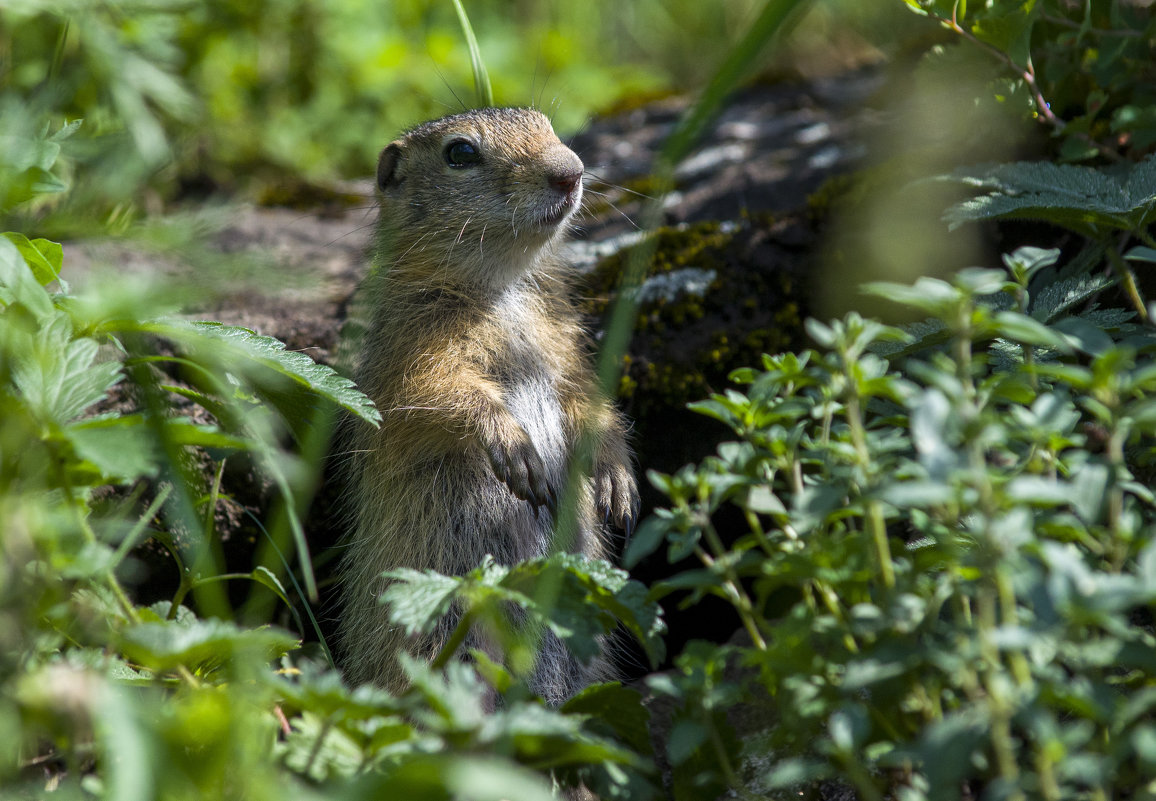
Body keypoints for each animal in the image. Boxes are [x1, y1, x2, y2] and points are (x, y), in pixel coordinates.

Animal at [335, 108, 642, 707]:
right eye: (460, 154)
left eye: (547, 123)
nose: (570, 170)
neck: (502, 288)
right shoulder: (417, 352)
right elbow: (442, 394)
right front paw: (516, 452)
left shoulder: (566, 353)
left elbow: (591, 405)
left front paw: (617, 484)